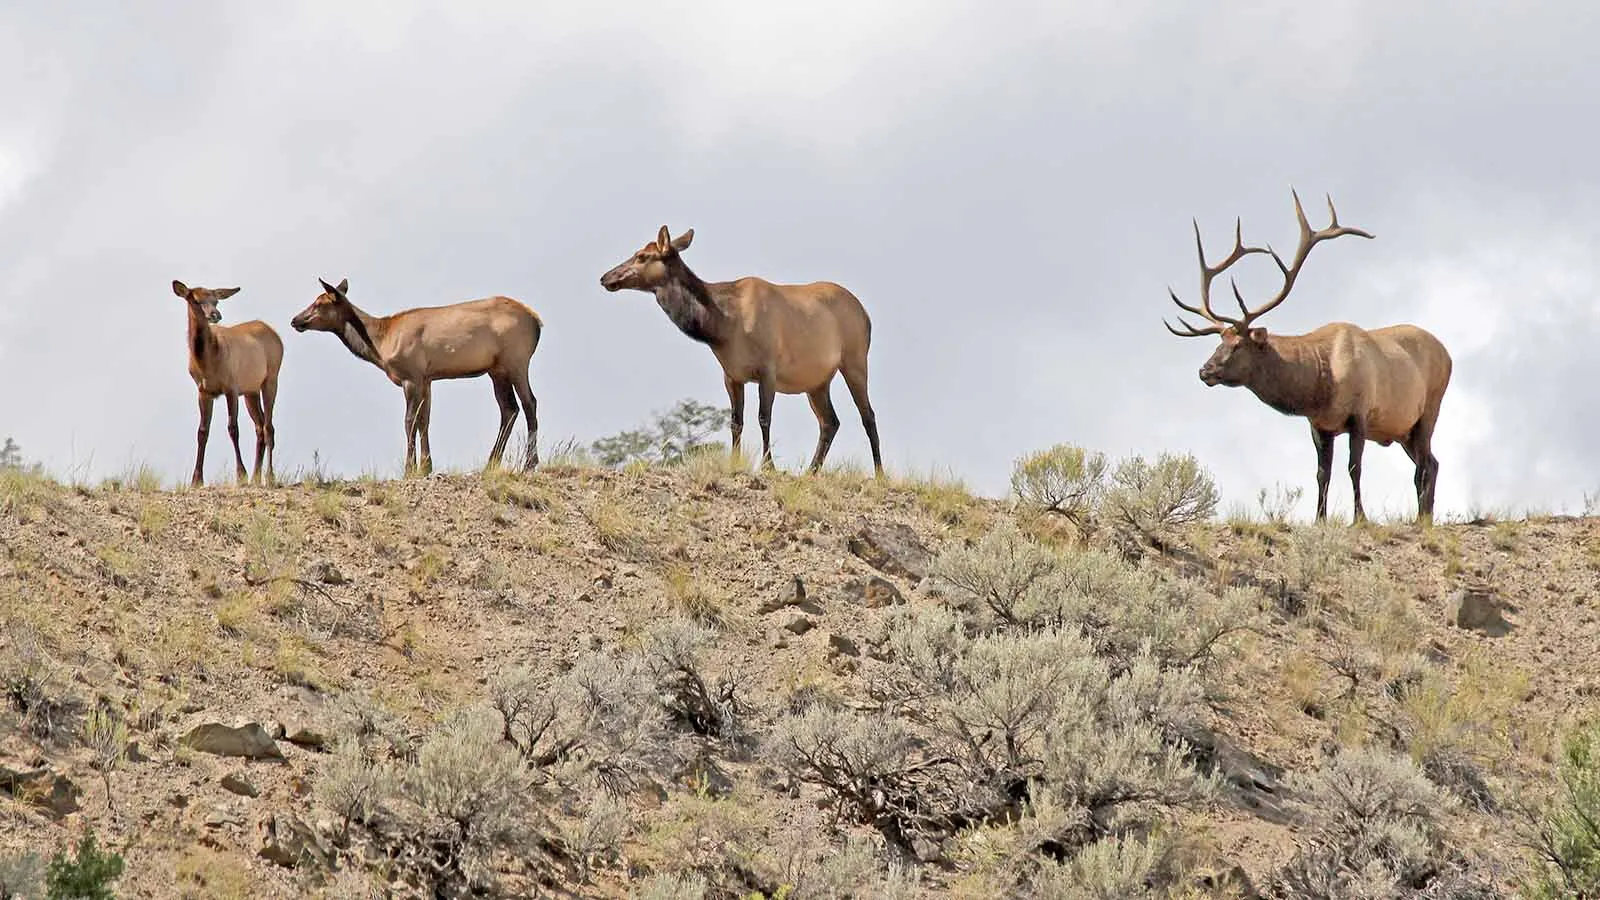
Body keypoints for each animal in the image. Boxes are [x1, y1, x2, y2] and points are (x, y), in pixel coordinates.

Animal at [172, 280, 284, 488]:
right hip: (250, 390)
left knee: (269, 426)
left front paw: (241, 475)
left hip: (271, 378)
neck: (207, 363)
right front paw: (196, 479)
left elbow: (233, 428)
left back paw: (269, 476)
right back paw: (256, 476)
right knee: (259, 426)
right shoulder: (203, 391)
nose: (215, 314)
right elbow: (202, 431)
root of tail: (276, 334)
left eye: (216, 300)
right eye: (196, 300)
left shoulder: (231, 386)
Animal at [289, 278, 542, 476]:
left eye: (320, 302)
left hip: (517, 360)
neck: (380, 343)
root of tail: (537, 322)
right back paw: (491, 463)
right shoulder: (426, 378)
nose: (295, 320)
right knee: (509, 408)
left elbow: (409, 421)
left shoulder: (410, 375)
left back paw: (529, 463)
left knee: (529, 402)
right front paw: (426, 467)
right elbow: (424, 421)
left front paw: (409, 469)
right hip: (496, 369)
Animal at [599, 226, 883, 476]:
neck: (721, 327)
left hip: (855, 361)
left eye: (642, 256)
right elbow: (736, 421)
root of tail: (867, 316)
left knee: (867, 415)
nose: (606, 277)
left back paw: (879, 473)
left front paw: (769, 466)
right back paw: (811, 471)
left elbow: (763, 418)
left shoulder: (768, 370)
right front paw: (735, 463)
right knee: (830, 422)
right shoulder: (732, 375)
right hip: (817, 381)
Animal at [1163, 190, 1452, 525]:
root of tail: (1448, 354)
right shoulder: (1319, 425)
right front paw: (1320, 519)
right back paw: (1425, 516)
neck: (1322, 384)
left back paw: (1423, 519)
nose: (1204, 370)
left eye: (1238, 345)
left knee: (1424, 466)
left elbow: (1354, 468)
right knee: (1432, 463)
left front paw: (1360, 518)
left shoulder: (1360, 413)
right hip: (1404, 429)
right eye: (1219, 341)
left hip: (1429, 410)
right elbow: (1321, 473)